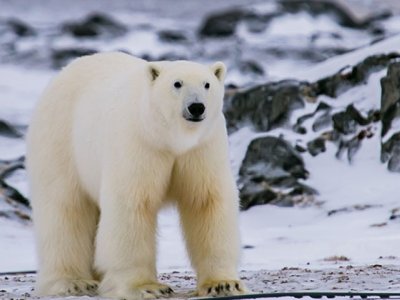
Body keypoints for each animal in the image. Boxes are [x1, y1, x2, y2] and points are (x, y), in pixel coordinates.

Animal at [26, 52, 245, 298]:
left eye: (207, 84)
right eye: (177, 83)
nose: (196, 107)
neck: (168, 138)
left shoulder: (201, 148)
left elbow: (206, 202)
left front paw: (223, 284)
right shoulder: (139, 143)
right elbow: (132, 205)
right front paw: (146, 287)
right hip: (61, 141)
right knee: (65, 207)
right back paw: (73, 282)